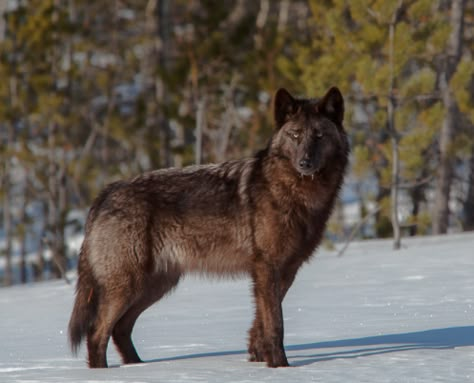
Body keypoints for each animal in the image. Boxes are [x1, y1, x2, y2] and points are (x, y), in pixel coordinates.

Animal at [67, 87, 348, 368]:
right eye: (295, 135)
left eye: (319, 135)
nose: (305, 163)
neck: (295, 192)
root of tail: (105, 193)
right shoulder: (267, 268)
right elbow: (275, 324)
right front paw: (280, 367)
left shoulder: (286, 271)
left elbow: (260, 323)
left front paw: (257, 358)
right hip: (129, 287)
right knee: (97, 332)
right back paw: (105, 373)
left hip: (156, 286)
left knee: (120, 329)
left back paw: (138, 368)